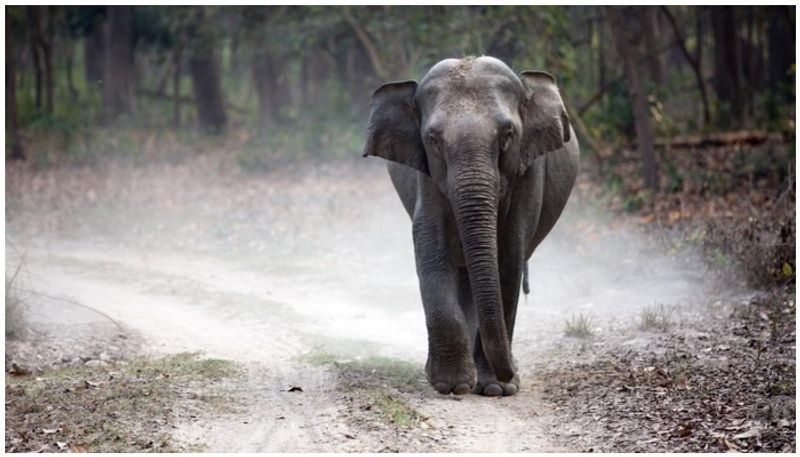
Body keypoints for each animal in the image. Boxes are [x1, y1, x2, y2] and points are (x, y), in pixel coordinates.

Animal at [360, 55, 576, 394]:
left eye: (508, 135)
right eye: (433, 140)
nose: (511, 372)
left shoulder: (527, 174)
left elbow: (508, 259)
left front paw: (496, 389)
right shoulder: (426, 176)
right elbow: (431, 252)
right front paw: (453, 386)